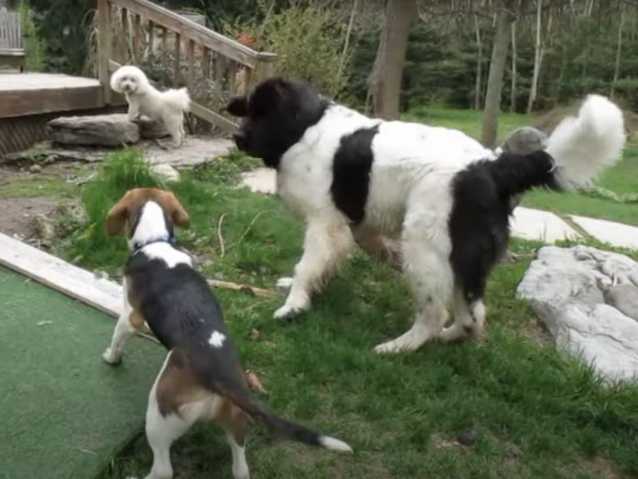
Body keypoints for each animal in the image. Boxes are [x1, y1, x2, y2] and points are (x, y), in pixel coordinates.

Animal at [101, 188, 351, 479]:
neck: (156, 242)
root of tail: (222, 378)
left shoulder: (131, 316)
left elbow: (118, 337)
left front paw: (111, 358)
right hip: (236, 419)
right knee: (240, 466)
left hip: (159, 415)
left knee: (163, 468)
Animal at [226, 78, 625, 354]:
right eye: (249, 111)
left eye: (261, 112)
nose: (237, 138)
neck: (304, 127)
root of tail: (492, 165)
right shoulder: (355, 227)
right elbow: (327, 264)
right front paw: (308, 290)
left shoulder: (326, 224)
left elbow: (307, 266)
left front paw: (294, 304)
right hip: (462, 257)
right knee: (473, 313)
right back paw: (452, 338)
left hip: (424, 243)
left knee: (435, 313)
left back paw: (399, 346)